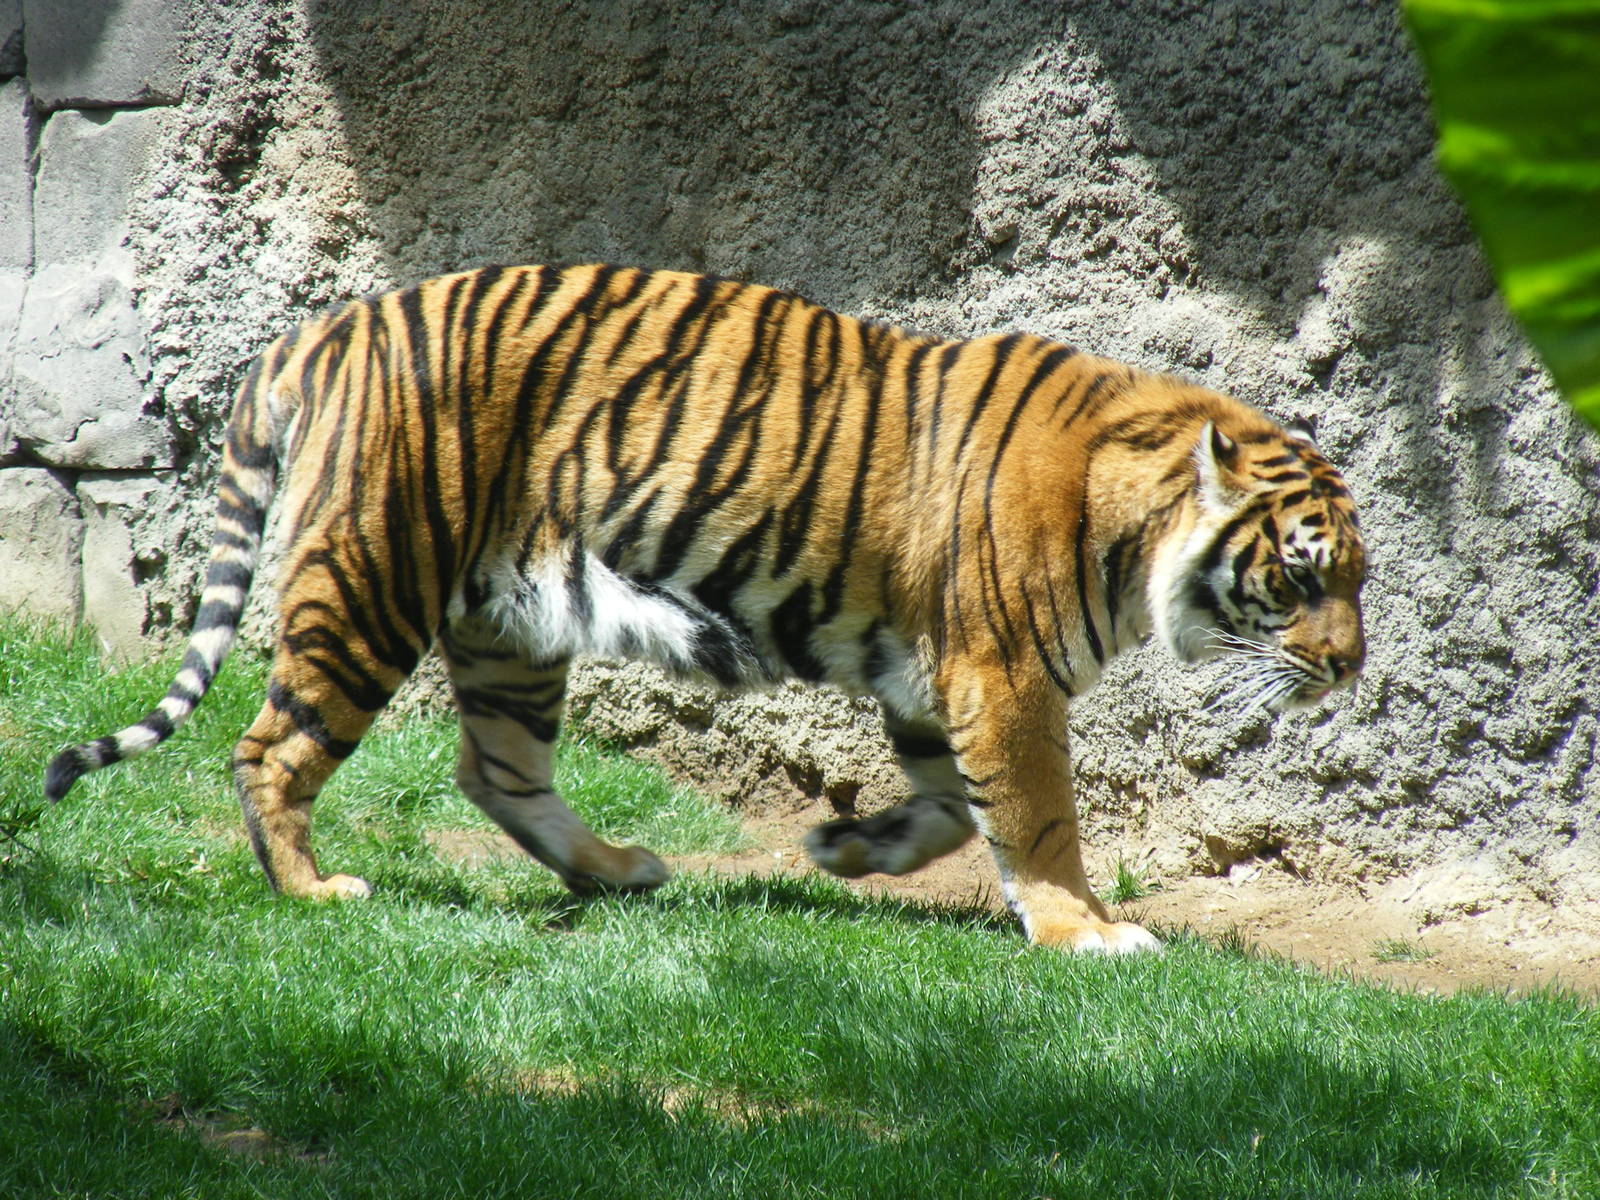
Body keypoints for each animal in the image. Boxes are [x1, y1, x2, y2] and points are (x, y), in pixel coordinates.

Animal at [45, 263, 1366, 954]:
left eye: (1359, 579)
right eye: (1305, 577)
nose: (1352, 667)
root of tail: (321, 328)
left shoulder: (937, 677)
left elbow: (954, 805)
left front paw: (850, 848)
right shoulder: (1001, 674)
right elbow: (1035, 816)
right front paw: (1084, 932)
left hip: (510, 622)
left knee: (495, 769)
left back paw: (616, 869)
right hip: (375, 578)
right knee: (271, 747)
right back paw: (311, 891)